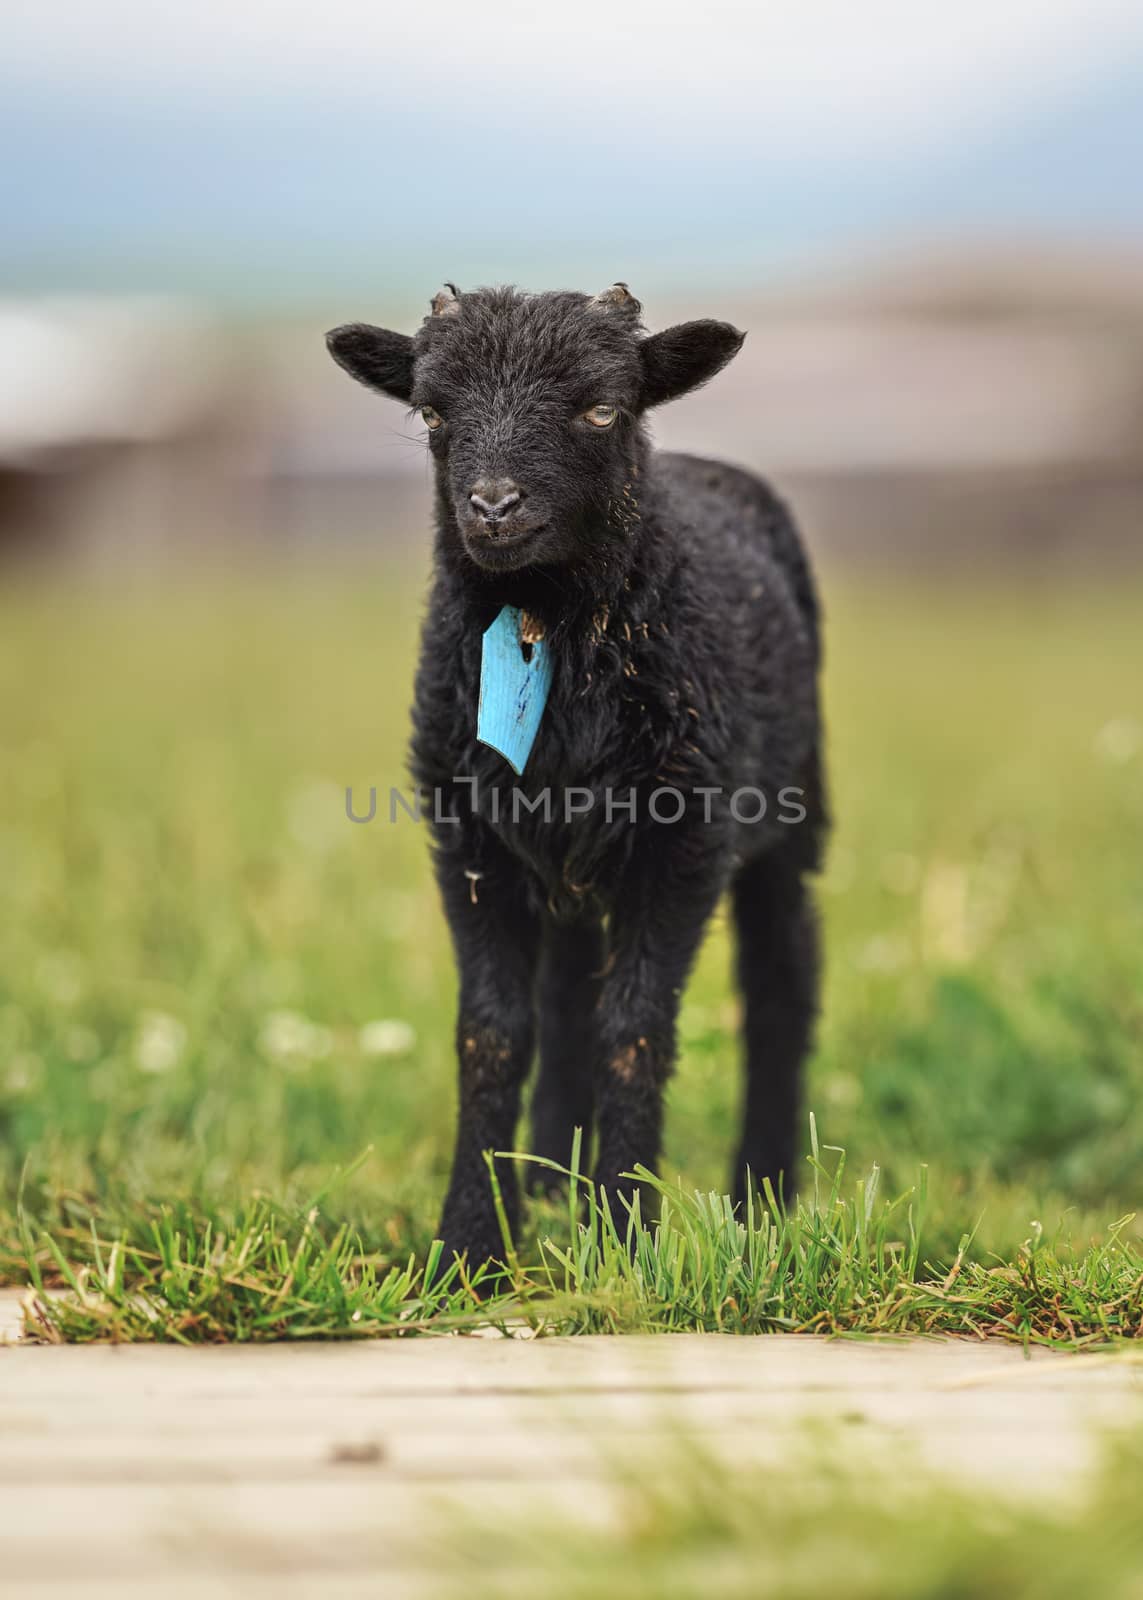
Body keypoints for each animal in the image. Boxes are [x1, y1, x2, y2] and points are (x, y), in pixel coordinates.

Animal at [324, 281, 826, 1267]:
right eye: (432, 412)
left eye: (601, 410)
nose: (493, 506)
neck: (542, 624)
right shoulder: (469, 843)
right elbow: (493, 1034)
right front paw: (472, 1244)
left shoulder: (684, 844)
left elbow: (632, 1030)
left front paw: (629, 1234)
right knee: (562, 1000)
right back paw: (555, 1186)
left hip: (789, 812)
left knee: (779, 990)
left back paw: (762, 1195)